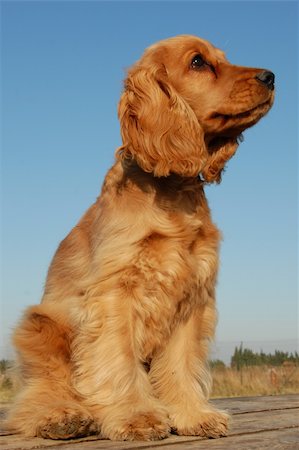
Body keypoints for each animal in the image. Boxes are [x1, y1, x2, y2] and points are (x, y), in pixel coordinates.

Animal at [7, 34, 276, 440]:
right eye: (198, 62)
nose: (271, 76)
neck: (172, 191)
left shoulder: (192, 295)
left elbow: (181, 363)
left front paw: (192, 415)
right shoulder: (115, 293)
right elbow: (117, 360)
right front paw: (137, 416)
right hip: (40, 323)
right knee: (36, 394)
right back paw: (62, 416)